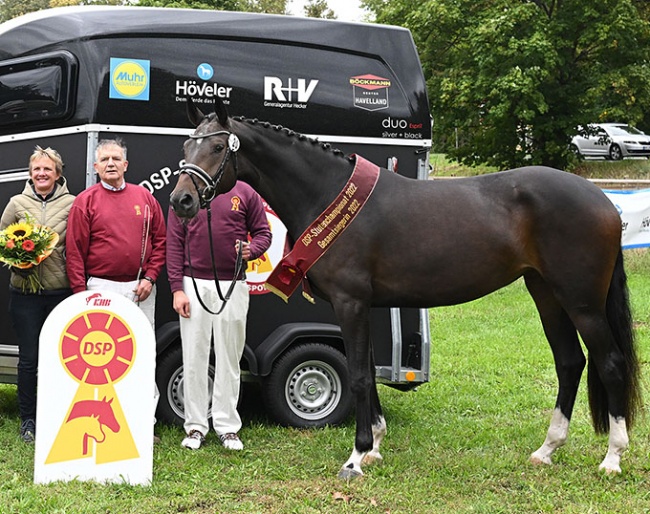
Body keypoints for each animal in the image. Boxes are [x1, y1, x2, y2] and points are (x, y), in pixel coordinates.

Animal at [168, 100, 636, 476]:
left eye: (216, 148)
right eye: (186, 148)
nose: (181, 201)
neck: (327, 194)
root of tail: (603, 200)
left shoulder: (351, 303)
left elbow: (360, 375)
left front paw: (356, 457)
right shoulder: (367, 306)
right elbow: (369, 371)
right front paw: (374, 445)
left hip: (581, 302)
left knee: (610, 362)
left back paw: (612, 458)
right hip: (547, 295)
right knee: (570, 362)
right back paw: (547, 450)